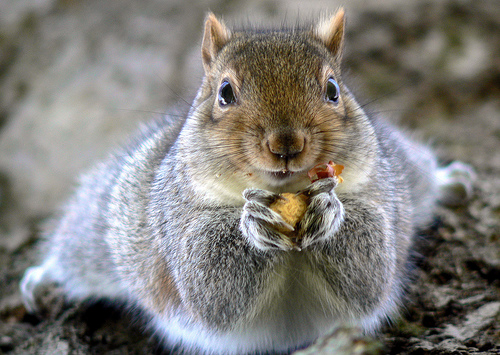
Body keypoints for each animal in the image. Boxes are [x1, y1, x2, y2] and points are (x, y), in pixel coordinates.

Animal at [19, 9, 474, 355]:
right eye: (225, 92)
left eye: (332, 89)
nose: (286, 143)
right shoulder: (174, 224)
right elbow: (211, 287)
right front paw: (253, 224)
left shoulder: (384, 198)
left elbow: (370, 273)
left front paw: (329, 211)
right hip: (106, 227)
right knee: (79, 249)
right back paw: (45, 278)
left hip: (403, 168)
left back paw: (449, 181)